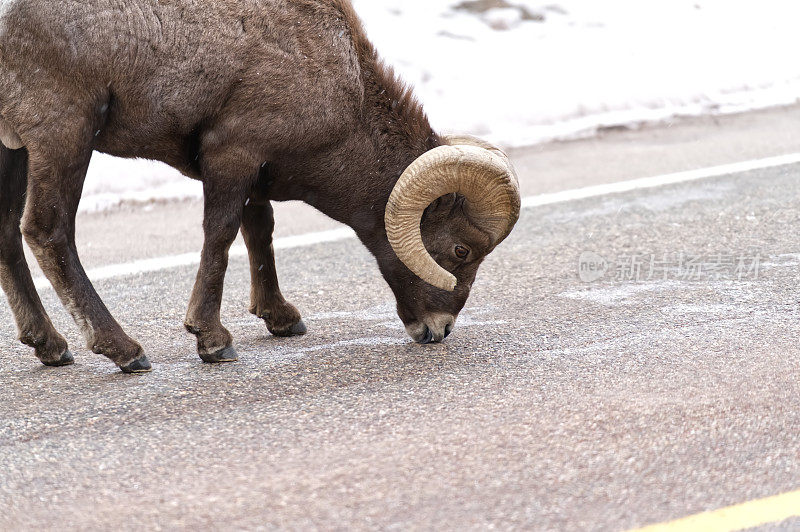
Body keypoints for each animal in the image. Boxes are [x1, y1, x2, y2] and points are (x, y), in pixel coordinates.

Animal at [0, 1, 520, 374]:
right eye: (461, 250)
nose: (438, 330)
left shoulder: (254, 171)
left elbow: (259, 232)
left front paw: (282, 319)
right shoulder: (232, 156)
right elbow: (221, 237)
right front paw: (213, 342)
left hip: (15, 149)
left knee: (9, 235)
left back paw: (51, 347)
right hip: (65, 136)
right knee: (47, 232)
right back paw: (125, 351)